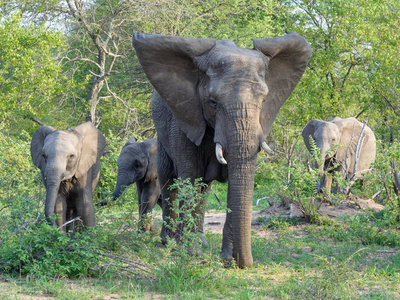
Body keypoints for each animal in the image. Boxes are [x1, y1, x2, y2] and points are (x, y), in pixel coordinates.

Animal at [133, 29, 310, 268]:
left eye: (264, 100)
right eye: (213, 102)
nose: (242, 263)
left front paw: (225, 258)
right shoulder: (186, 121)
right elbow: (190, 177)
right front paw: (189, 253)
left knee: (204, 189)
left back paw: (200, 241)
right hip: (162, 135)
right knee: (169, 179)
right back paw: (170, 242)